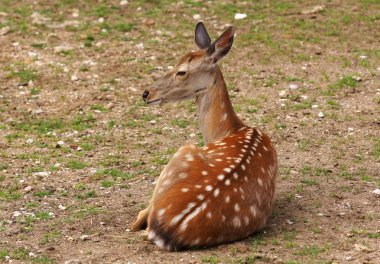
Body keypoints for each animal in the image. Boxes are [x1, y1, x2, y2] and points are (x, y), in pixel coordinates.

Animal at [132, 21, 278, 251]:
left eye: (181, 72)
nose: (146, 93)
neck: (230, 130)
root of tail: (168, 229)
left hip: (184, 150)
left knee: (140, 217)